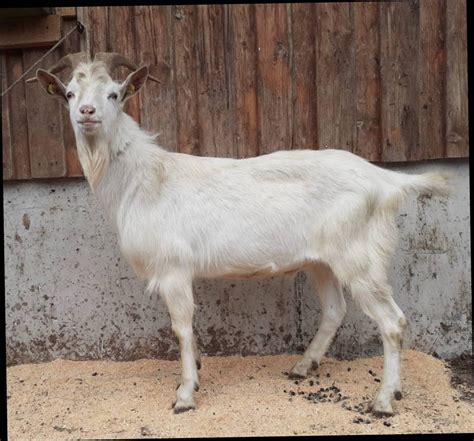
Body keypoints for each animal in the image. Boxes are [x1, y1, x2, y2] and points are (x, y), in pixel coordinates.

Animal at [32, 53, 448, 414]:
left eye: (114, 94)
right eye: (70, 93)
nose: (87, 113)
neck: (145, 178)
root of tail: (387, 179)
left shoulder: (173, 269)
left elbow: (181, 328)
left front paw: (185, 395)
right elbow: (189, 332)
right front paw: (197, 370)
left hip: (359, 258)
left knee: (392, 323)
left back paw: (384, 400)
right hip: (323, 260)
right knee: (335, 309)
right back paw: (305, 367)